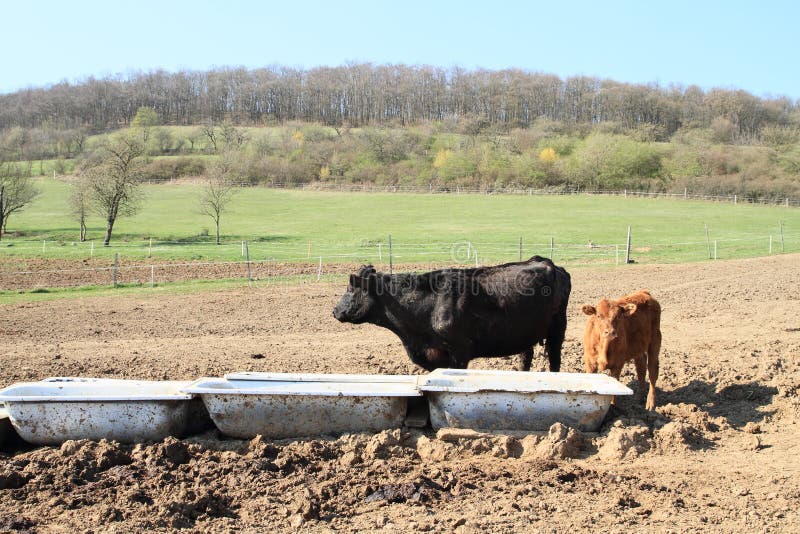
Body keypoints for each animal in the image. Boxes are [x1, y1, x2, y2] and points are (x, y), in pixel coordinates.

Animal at [333, 256, 571, 372]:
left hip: (558, 328)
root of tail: (546, 262)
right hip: (526, 333)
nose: (335, 311)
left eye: (350, 289)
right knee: (525, 358)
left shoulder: (460, 353)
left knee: (555, 361)